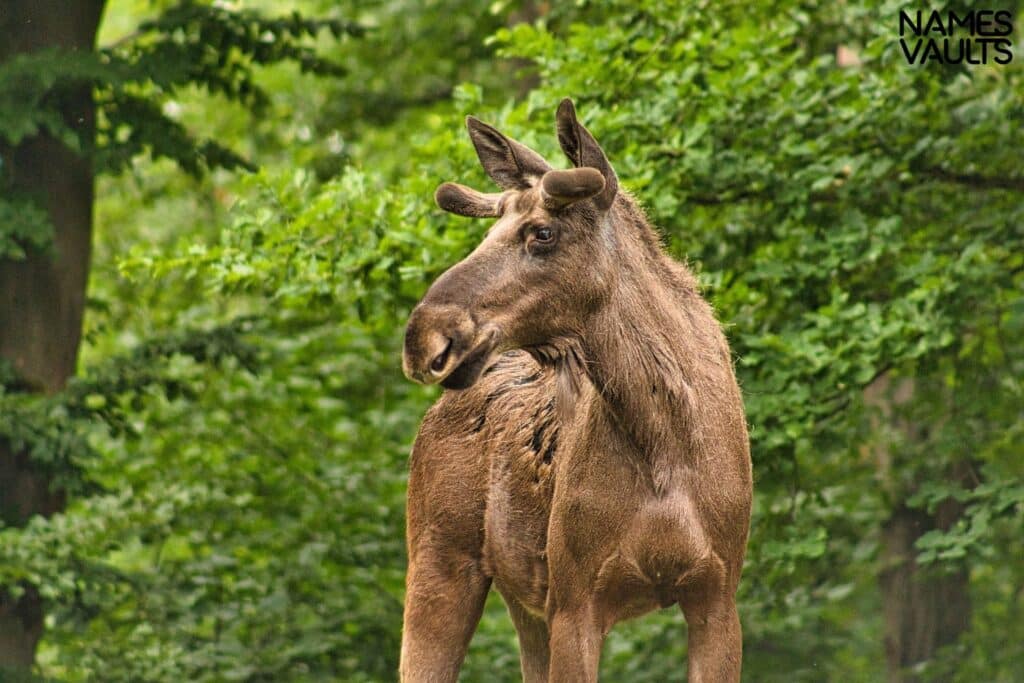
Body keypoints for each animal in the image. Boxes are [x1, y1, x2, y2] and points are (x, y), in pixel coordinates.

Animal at [399, 98, 753, 679]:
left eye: (542, 232)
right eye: (487, 234)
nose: (423, 335)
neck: (666, 443)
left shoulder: (717, 594)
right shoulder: (575, 601)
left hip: (524, 604)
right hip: (441, 561)